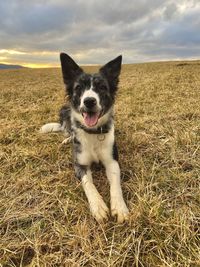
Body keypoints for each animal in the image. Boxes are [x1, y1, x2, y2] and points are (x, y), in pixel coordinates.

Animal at [40, 52, 129, 224]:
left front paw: (120, 207)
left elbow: (116, 184)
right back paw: (68, 139)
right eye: (79, 87)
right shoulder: (79, 165)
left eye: (102, 87)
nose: (89, 101)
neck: (93, 133)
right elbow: (88, 184)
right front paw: (98, 206)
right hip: (64, 111)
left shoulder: (112, 161)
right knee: (68, 130)